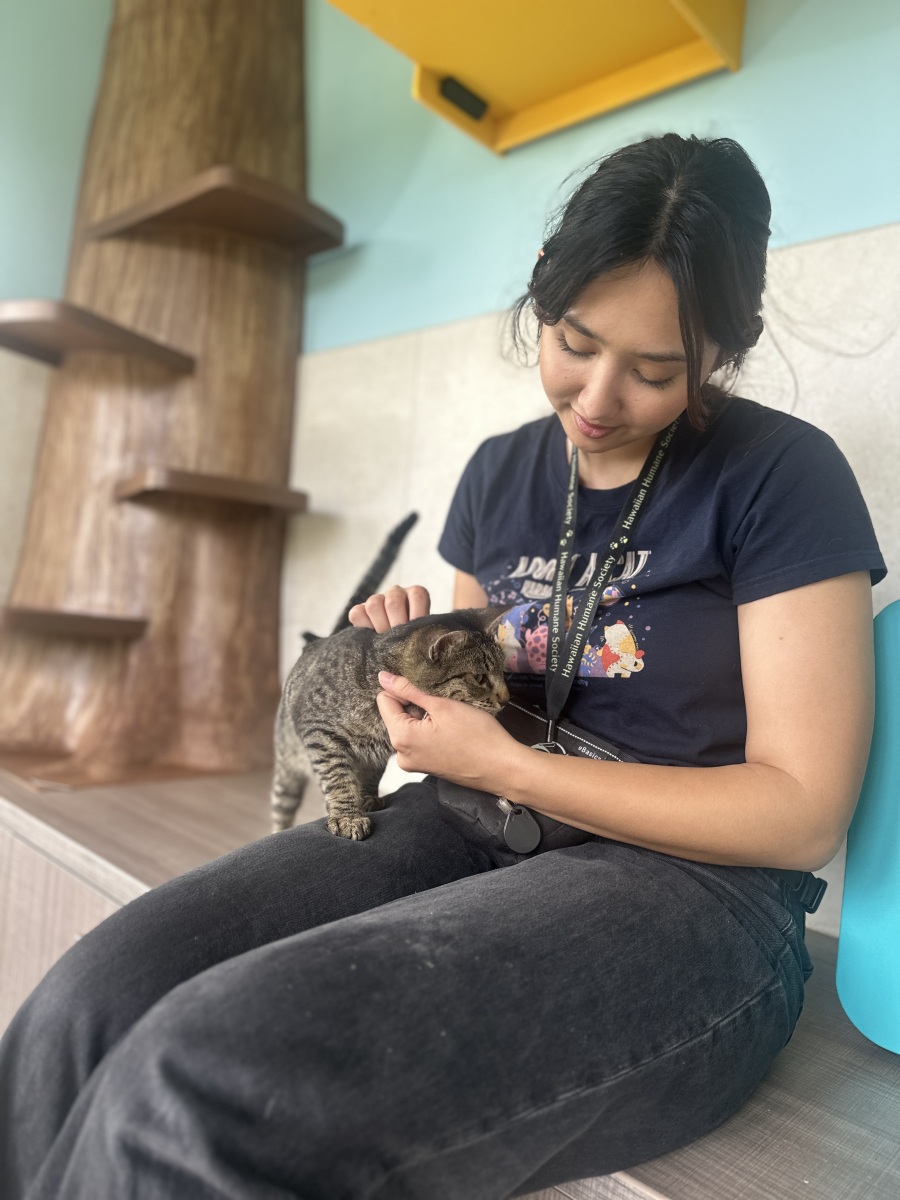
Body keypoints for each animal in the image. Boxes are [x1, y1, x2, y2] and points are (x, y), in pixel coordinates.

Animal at [271, 606, 510, 840]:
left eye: (503, 671)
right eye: (479, 678)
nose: (506, 698)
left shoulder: (376, 755)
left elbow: (371, 775)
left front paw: (367, 797)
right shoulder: (319, 731)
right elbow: (338, 778)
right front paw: (347, 816)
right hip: (286, 773)